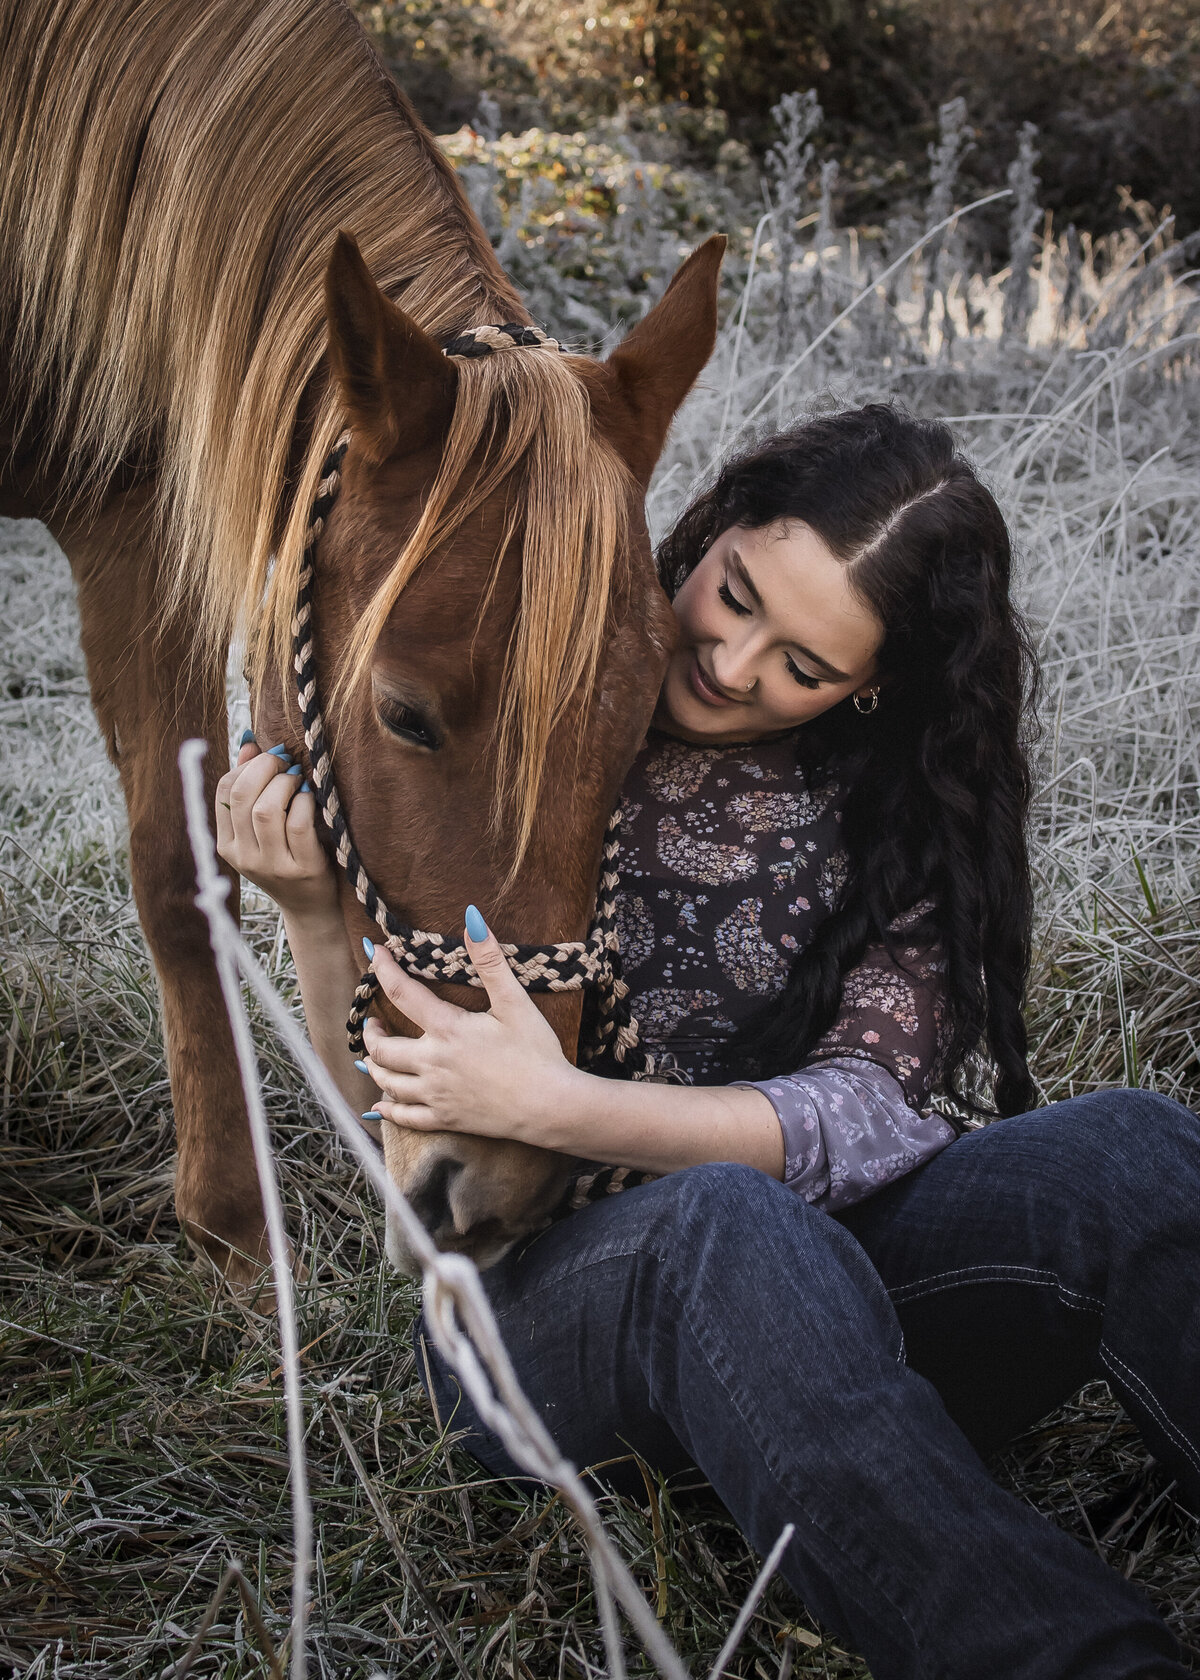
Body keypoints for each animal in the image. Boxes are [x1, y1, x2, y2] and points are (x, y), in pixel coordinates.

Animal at [0, 0, 724, 1281]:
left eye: (645, 720)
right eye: (405, 714)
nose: (503, 1186)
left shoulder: (138, 513)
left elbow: (181, 864)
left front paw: (231, 1229)